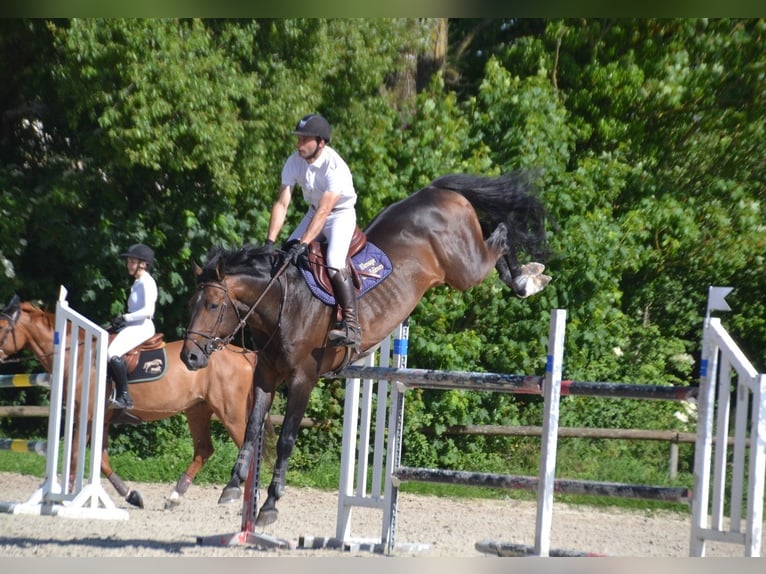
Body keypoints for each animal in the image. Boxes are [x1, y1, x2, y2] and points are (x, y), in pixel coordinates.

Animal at [0, 296, 258, 508]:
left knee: (246, 448)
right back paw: (175, 496)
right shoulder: (100, 420)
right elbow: (101, 459)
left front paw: (66, 497)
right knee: (204, 449)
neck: (79, 357)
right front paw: (131, 495)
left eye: (2, 327)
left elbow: (75, 454)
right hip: (197, 411)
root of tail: (245, 355)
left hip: (230, 414)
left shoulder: (87, 415)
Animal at [180, 170, 552, 528]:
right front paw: (232, 487)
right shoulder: (266, 374)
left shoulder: (303, 379)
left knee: (499, 237)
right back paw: (524, 278)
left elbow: (286, 438)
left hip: (464, 269)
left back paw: (528, 280)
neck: (283, 300)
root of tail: (436, 190)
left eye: (213, 305)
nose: (189, 357)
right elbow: (253, 428)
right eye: (192, 304)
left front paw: (270, 506)